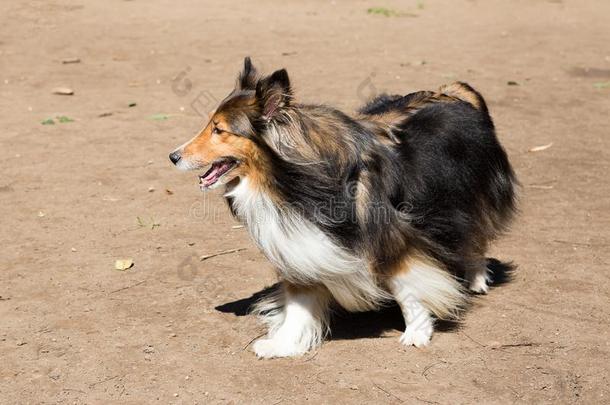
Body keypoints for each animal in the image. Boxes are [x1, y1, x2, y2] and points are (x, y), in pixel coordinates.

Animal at [169, 56, 516, 356]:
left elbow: (407, 287)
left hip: (465, 197)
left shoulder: (392, 237)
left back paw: (476, 278)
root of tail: (452, 92)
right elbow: (298, 303)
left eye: (219, 130)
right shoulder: (303, 242)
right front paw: (283, 343)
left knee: (475, 234)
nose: (173, 156)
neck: (293, 182)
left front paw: (417, 331)